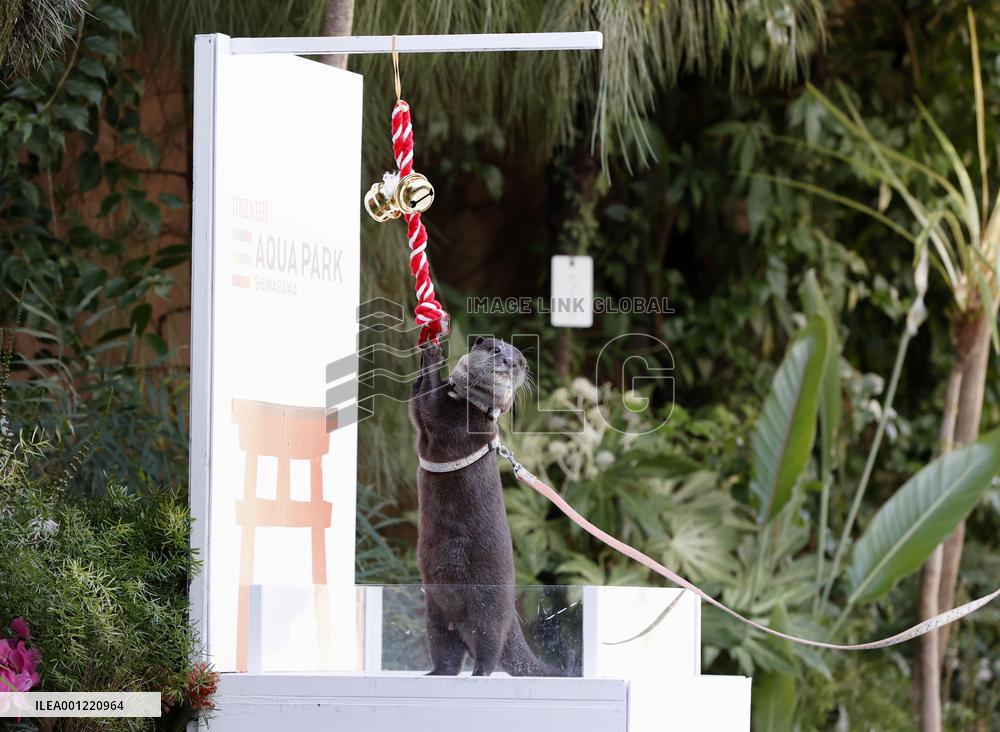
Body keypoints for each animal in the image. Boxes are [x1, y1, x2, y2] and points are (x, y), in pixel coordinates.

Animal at [408, 336, 559, 677]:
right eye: (496, 350)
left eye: (520, 362)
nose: (508, 363)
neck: (469, 403)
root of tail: (512, 617)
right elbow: (416, 395)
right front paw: (427, 350)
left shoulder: (449, 418)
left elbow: (429, 399)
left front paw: (435, 354)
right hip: (435, 620)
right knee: (448, 658)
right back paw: (432, 673)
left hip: (487, 613)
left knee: (489, 652)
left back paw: (479, 674)